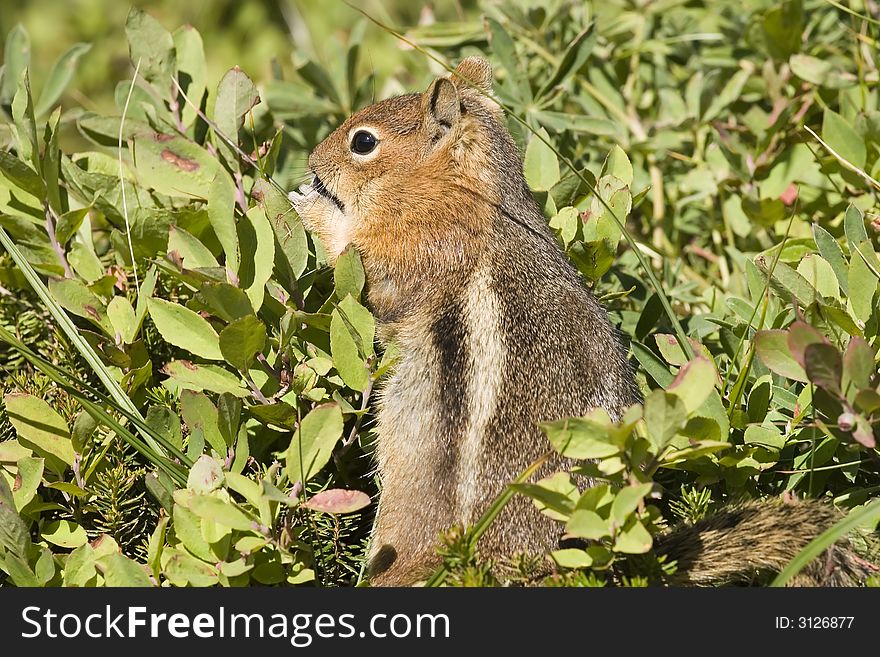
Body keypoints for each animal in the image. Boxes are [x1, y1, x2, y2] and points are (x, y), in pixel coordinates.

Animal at [290, 59, 872, 588]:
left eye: (363, 142)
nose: (312, 159)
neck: (468, 193)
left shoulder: (416, 251)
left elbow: (365, 277)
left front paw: (311, 208)